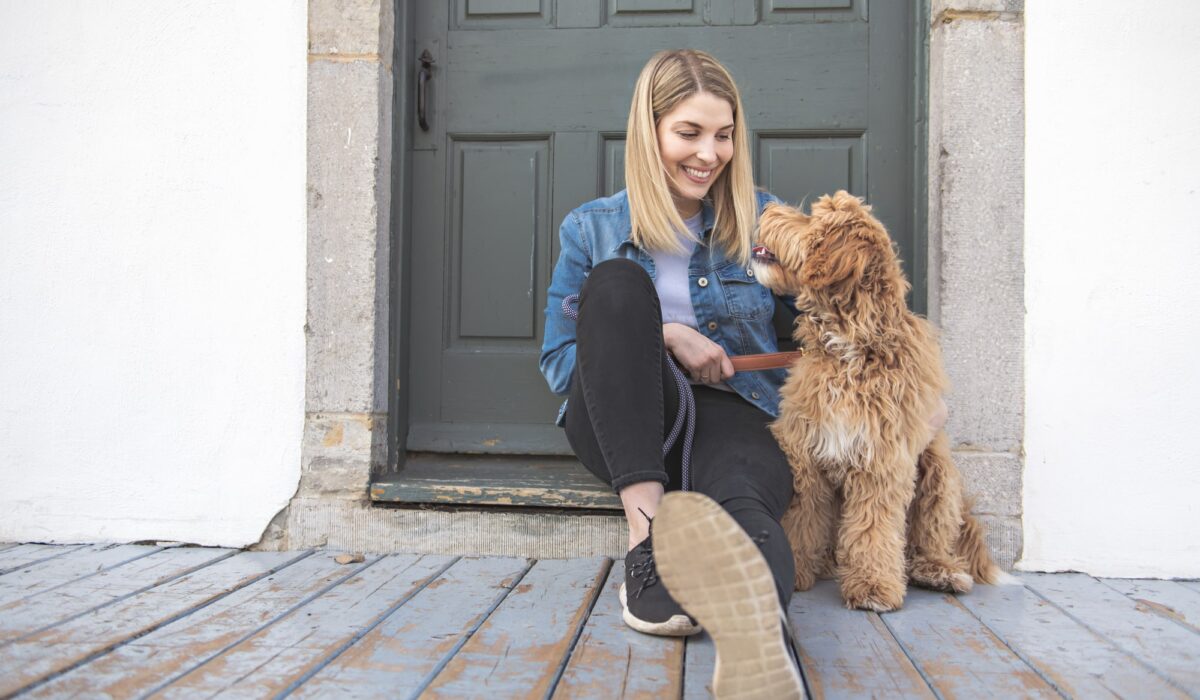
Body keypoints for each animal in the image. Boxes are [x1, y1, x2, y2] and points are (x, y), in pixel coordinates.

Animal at [753, 192, 998, 614]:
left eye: (812, 218)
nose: (765, 209)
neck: (850, 349)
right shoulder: (806, 456)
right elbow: (802, 520)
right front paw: (798, 569)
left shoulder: (881, 462)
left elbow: (874, 529)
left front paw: (872, 587)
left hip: (938, 474)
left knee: (930, 537)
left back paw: (940, 571)